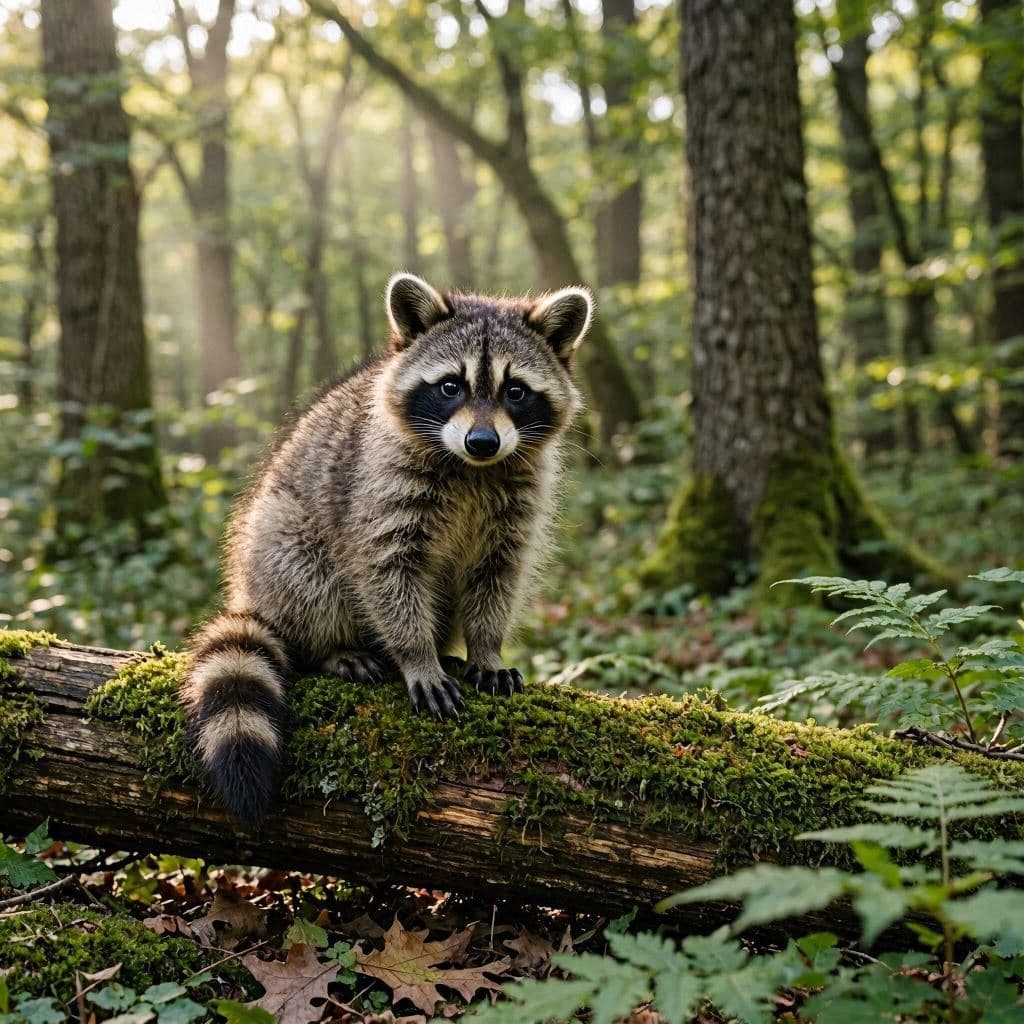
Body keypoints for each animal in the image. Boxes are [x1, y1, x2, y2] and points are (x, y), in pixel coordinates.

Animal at [181, 272, 592, 822]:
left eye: (516, 391)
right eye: (450, 386)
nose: (483, 442)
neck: (473, 469)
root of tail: (249, 594)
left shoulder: (515, 512)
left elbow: (497, 578)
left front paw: (485, 648)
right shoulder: (378, 490)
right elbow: (387, 573)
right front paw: (416, 655)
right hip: (277, 541)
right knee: (308, 575)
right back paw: (334, 648)